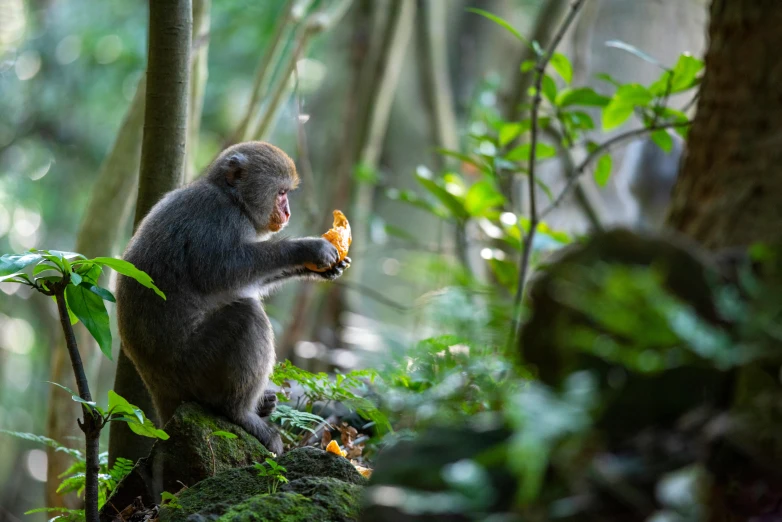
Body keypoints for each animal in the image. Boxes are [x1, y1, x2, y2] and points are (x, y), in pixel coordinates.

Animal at [115, 140, 350, 452]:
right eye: (282, 193)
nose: (288, 213)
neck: (231, 198)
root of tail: (160, 392)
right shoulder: (219, 219)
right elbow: (222, 272)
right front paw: (309, 249)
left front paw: (326, 268)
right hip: (193, 366)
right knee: (246, 316)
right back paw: (239, 412)